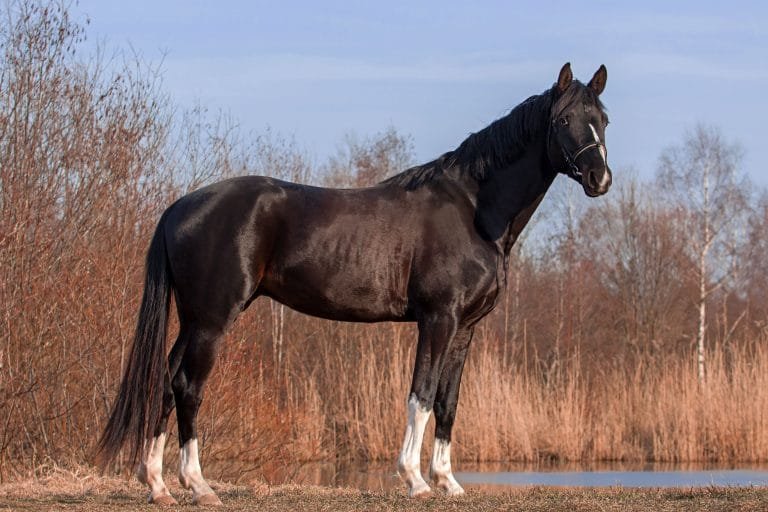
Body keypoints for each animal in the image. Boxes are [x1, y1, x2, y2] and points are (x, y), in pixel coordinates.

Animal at [96, 62, 612, 505]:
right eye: (565, 118)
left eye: (603, 119)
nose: (599, 178)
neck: (474, 209)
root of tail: (179, 206)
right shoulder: (438, 319)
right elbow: (421, 395)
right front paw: (415, 481)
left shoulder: (465, 328)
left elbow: (448, 402)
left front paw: (448, 483)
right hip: (212, 320)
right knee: (188, 387)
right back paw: (200, 486)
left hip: (191, 320)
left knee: (165, 383)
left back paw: (158, 486)